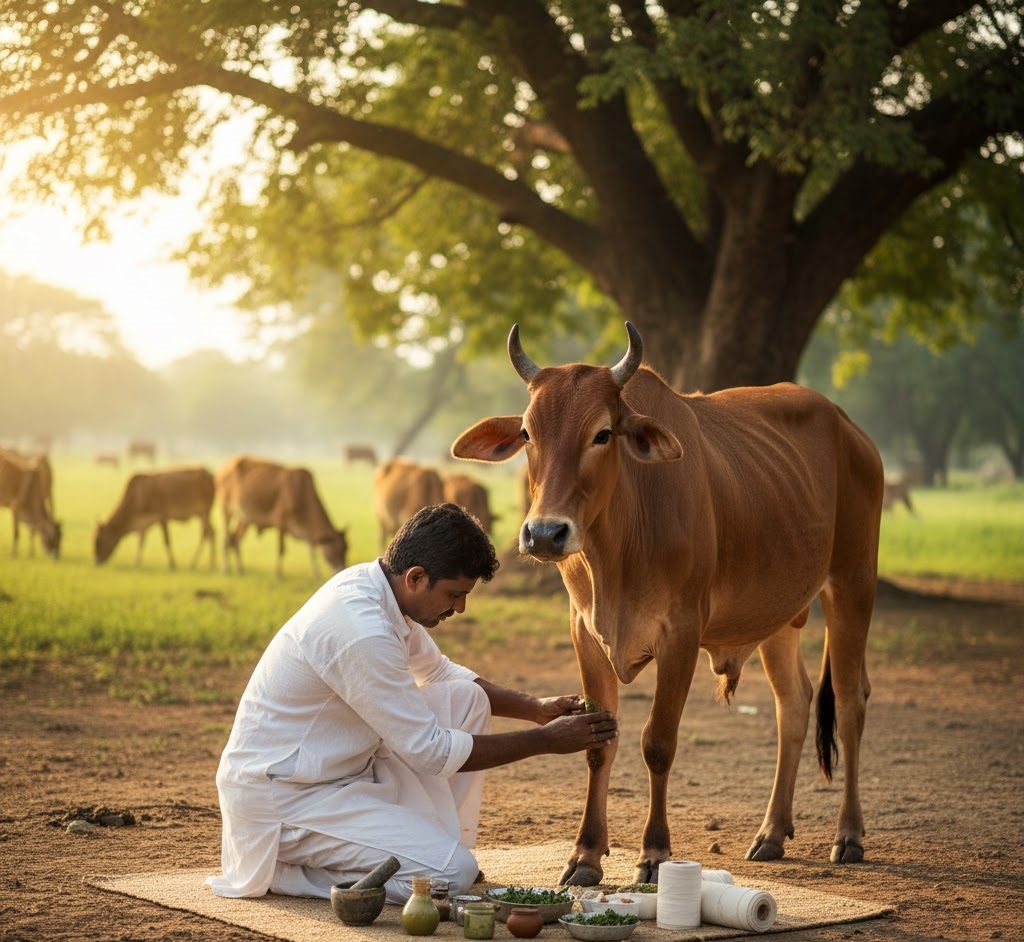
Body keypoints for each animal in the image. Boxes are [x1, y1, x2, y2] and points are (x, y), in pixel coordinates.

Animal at [215, 455, 348, 579]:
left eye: (346, 549)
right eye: (337, 550)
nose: (342, 569)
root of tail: (223, 468)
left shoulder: (308, 531)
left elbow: (311, 549)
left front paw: (317, 575)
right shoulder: (280, 521)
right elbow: (281, 549)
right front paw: (278, 575)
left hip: (244, 518)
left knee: (235, 539)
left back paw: (240, 569)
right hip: (226, 509)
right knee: (226, 538)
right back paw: (225, 569)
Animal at [452, 322, 884, 884]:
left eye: (602, 434)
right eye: (527, 434)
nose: (544, 533)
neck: (618, 547)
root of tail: (850, 428)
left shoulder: (681, 633)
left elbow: (658, 743)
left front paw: (654, 854)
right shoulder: (585, 632)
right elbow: (599, 744)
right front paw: (585, 855)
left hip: (853, 583)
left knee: (851, 700)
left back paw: (849, 834)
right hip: (781, 615)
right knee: (793, 704)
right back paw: (771, 831)